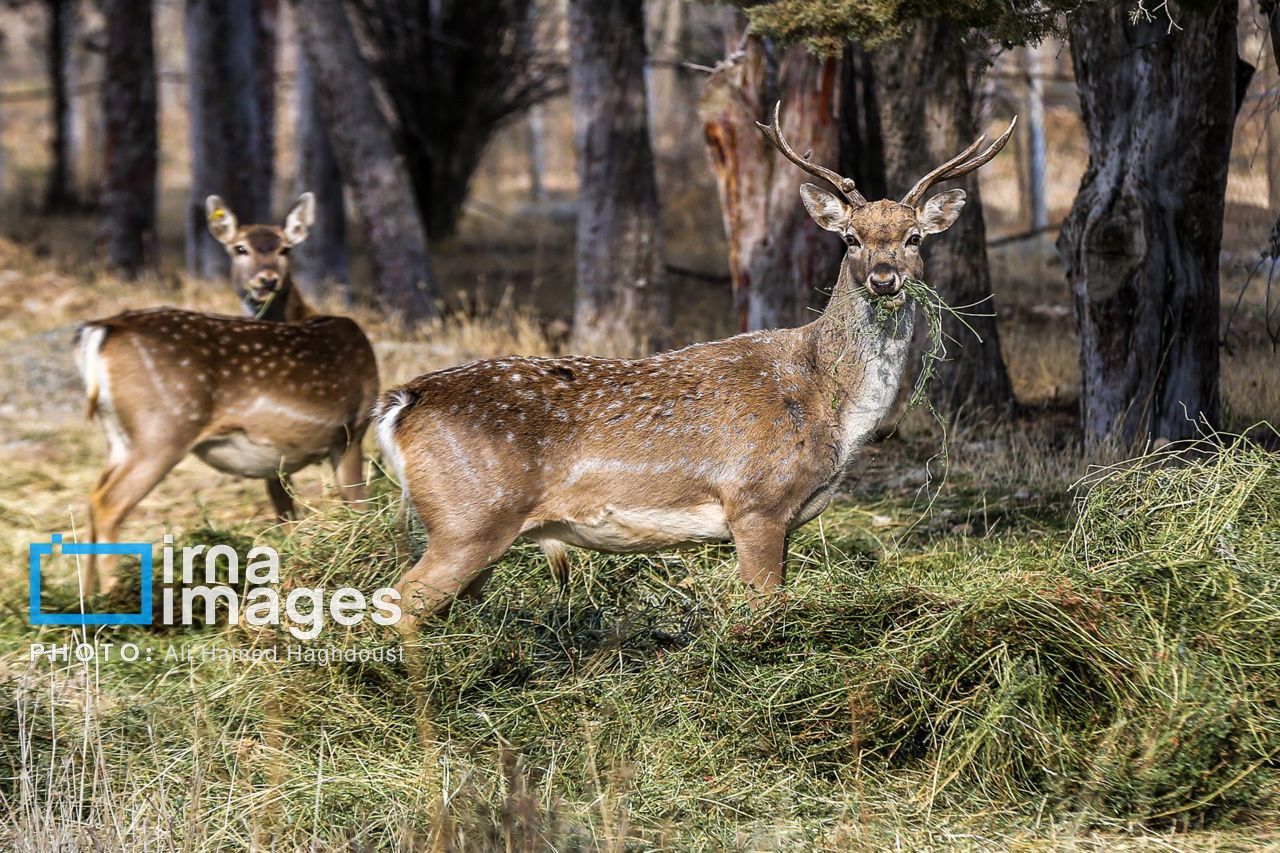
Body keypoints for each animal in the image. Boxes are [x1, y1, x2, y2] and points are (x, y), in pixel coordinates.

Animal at [73, 192, 378, 591]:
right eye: (240, 248)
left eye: (285, 248)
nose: (267, 280)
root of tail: (103, 329)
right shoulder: (351, 431)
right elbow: (358, 507)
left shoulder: (276, 459)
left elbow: (288, 519)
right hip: (163, 429)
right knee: (108, 504)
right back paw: (111, 598)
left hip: (119, 435)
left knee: (92, 496)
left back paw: (85, 596)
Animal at [373, 103, 1013, 627]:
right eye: (851, 239)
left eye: (913, 237)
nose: (884, 278)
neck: (831, 406)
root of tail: (400, 403)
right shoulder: (755, 501)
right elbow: (764, 609)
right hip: (469, 517)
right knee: (400, 602)